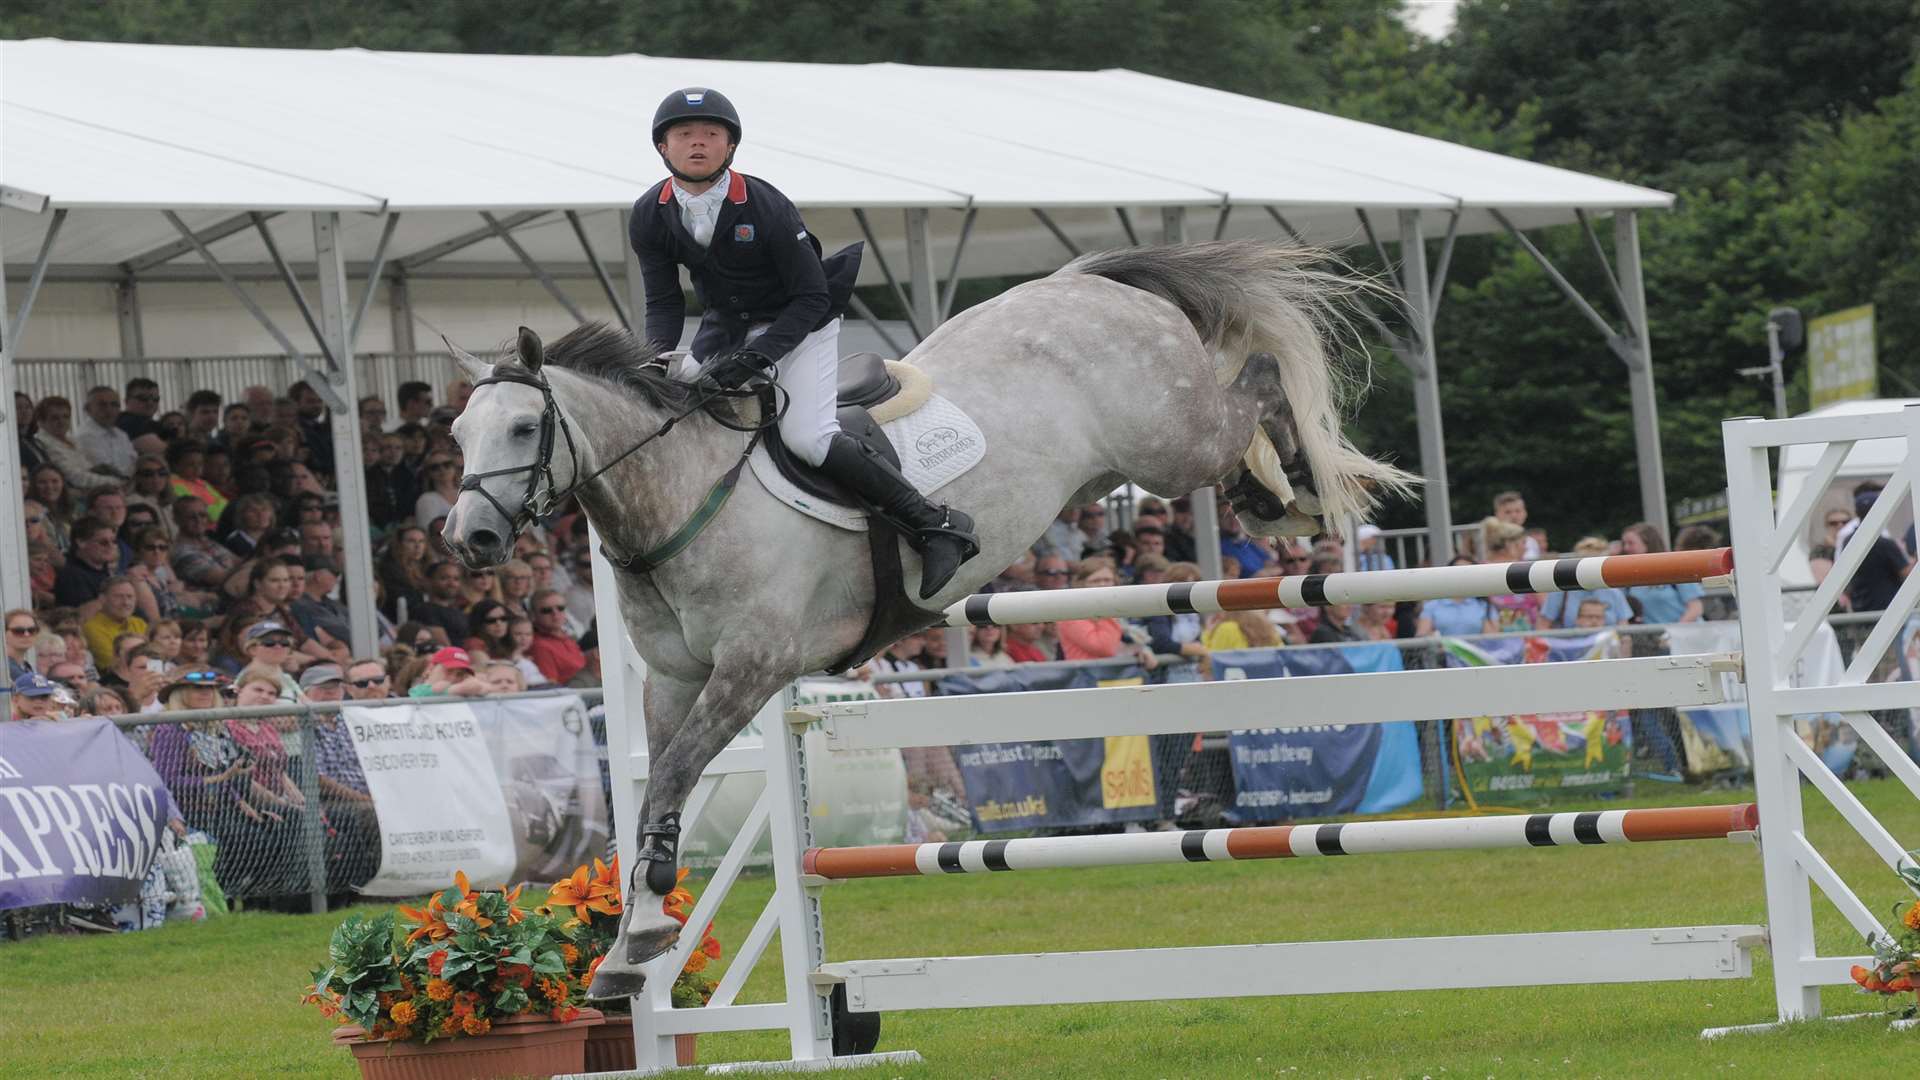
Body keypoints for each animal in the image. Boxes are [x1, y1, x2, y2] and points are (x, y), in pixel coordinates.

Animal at [441, 237, 1420, 991]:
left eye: (524, 430)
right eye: (456, 436)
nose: (471, 538)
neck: (682, 497)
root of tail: (1089, 280)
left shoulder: (753, 668)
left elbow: (676, 776)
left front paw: (639, 937)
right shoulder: (676, 680)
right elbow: (656, 792)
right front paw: (626, 953)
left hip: (1170, 442)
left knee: (1254, 380)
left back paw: (1295, 493)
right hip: (1123, 467)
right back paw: (1271, 492)